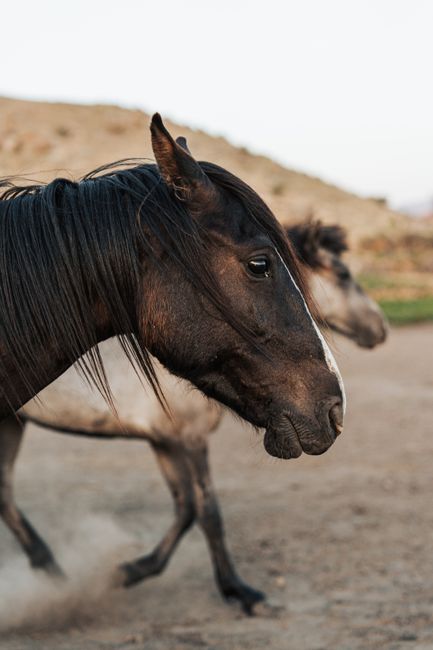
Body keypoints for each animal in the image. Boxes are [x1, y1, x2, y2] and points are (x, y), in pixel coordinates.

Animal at [0, 217, 367, 613]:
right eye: (344, 274)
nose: (378, 329)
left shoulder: (166, 441)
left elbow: (186, 506)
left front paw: (131, 571)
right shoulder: (190, 438)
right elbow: (208, 511)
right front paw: (238, 591)